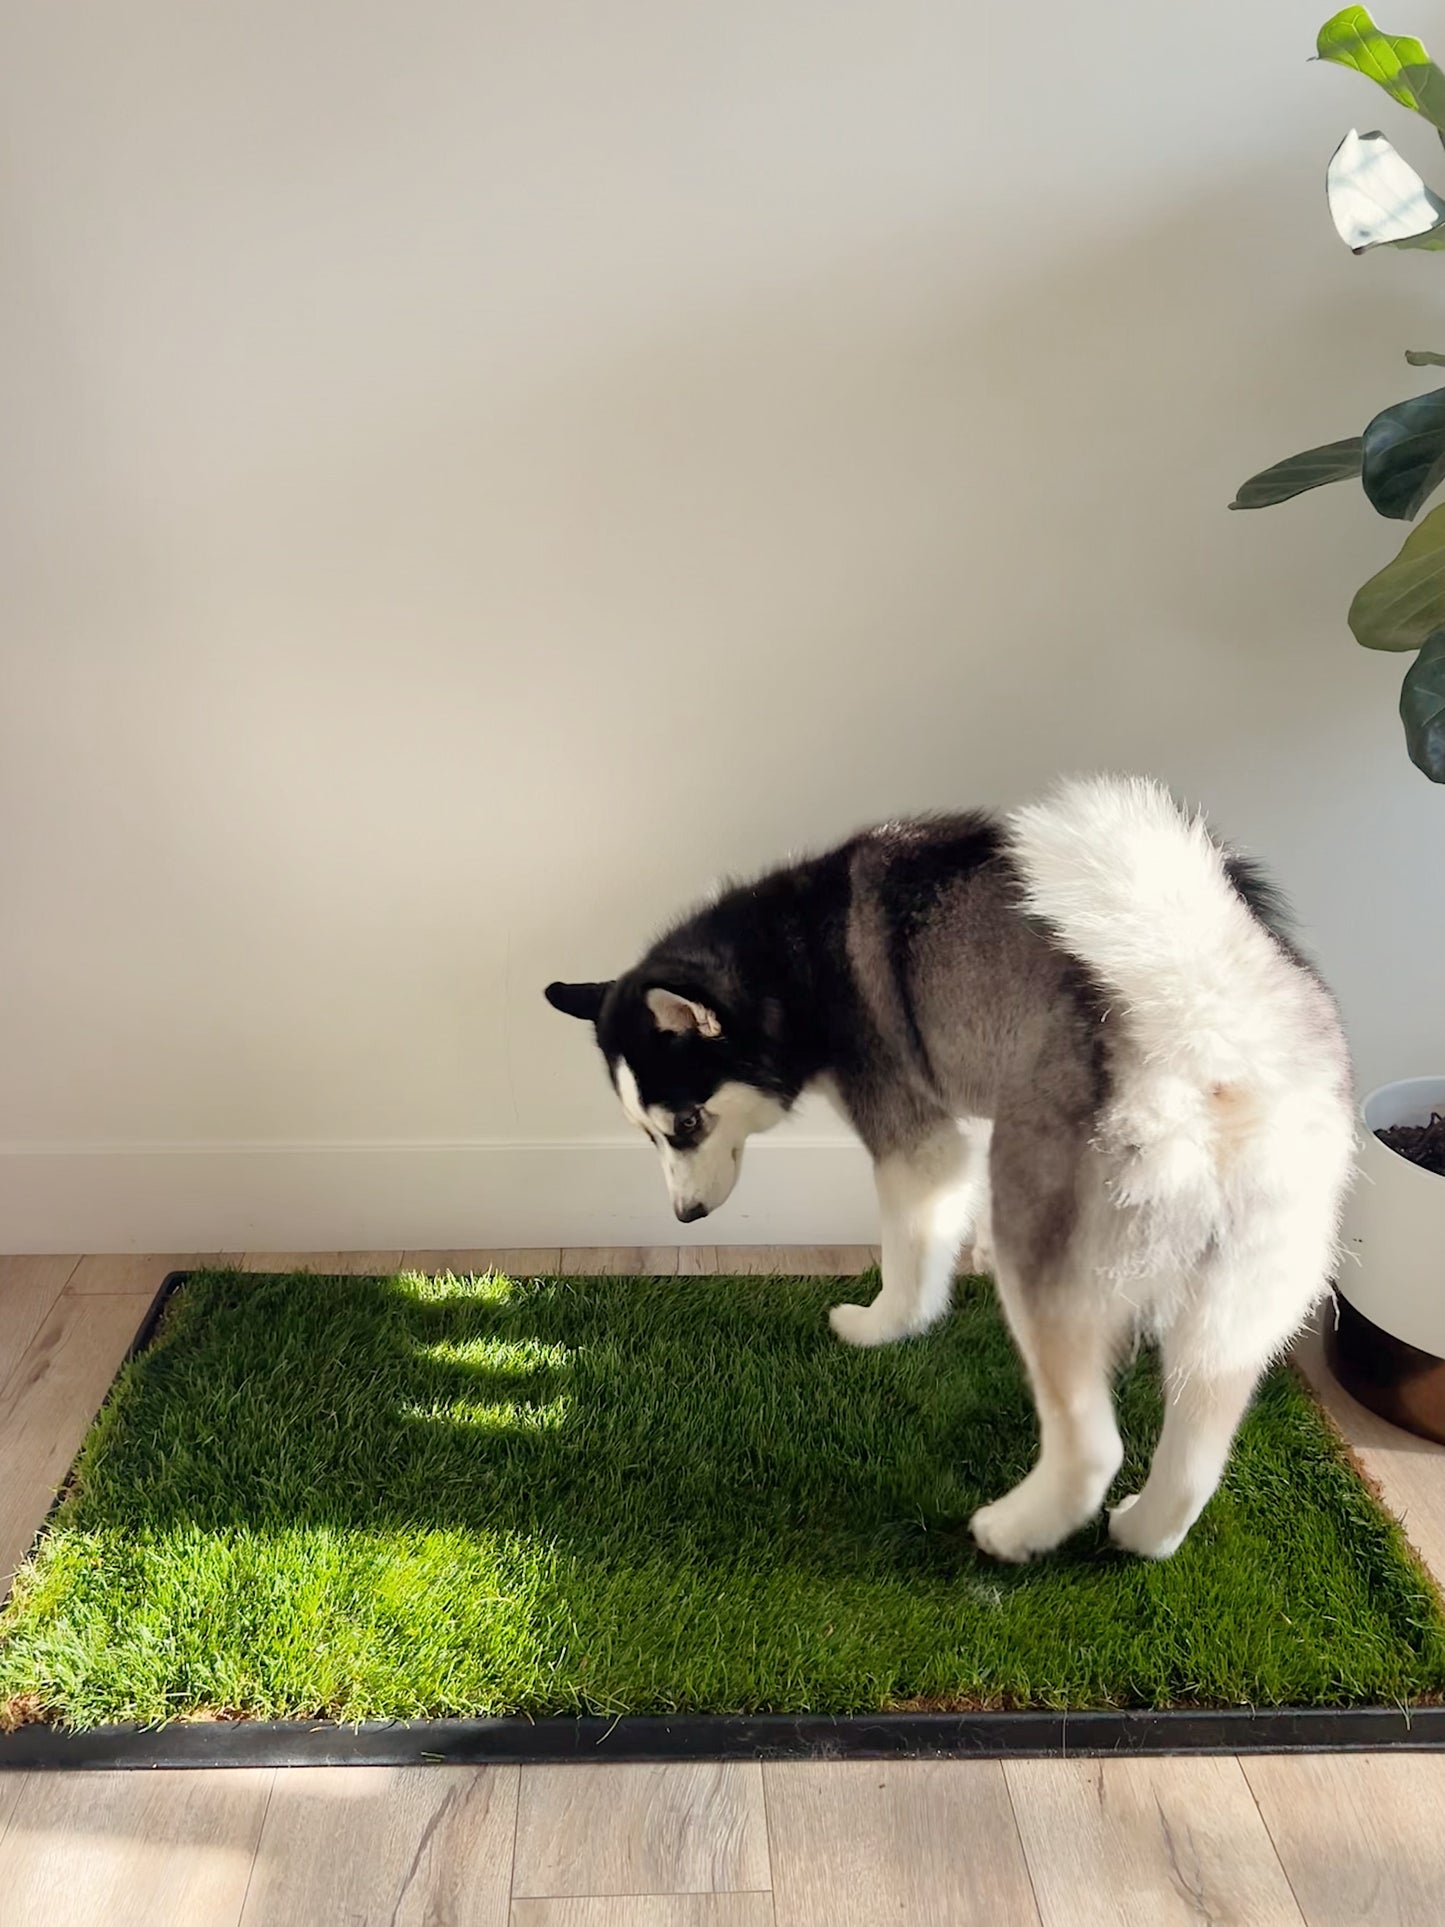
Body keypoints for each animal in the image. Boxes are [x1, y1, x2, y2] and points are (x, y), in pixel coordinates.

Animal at [547, 774, 1364, 1557]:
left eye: (686, 1124)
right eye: (646, 1136)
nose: (685, 1216)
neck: (795, 950)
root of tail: (1206, 1021)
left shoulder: (917, 1143)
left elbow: (908, 1260)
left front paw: (884, 1326)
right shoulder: (974, 1118)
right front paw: (965, 1259)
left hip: (1050, 1257)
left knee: (1090, 1447)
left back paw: (1013, 1531)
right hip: (1236, 1311)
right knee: (1199, 1451)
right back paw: (1144, 1533)